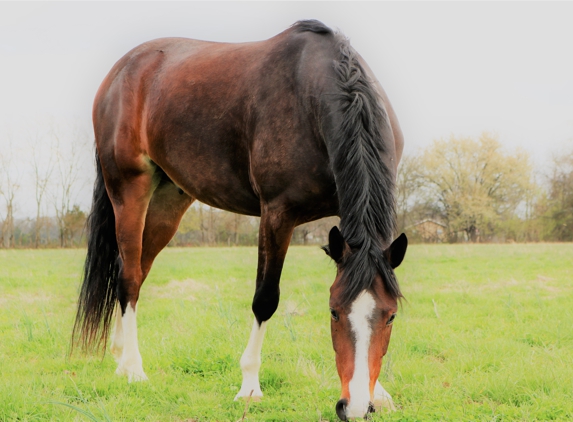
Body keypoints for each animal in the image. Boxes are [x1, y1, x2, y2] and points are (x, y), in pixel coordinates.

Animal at [72, 19, 406, 418]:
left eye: (391, 316)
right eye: (334, 312)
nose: (354, 407)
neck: (315, 94)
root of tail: (121, 71)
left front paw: (380, 392)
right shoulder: (277, 214)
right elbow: (265, 299)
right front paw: (249, 386)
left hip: (169, 198)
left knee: (133, 269)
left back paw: (121, 357)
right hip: (128, 188)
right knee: (129, 276)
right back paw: (134, 369)